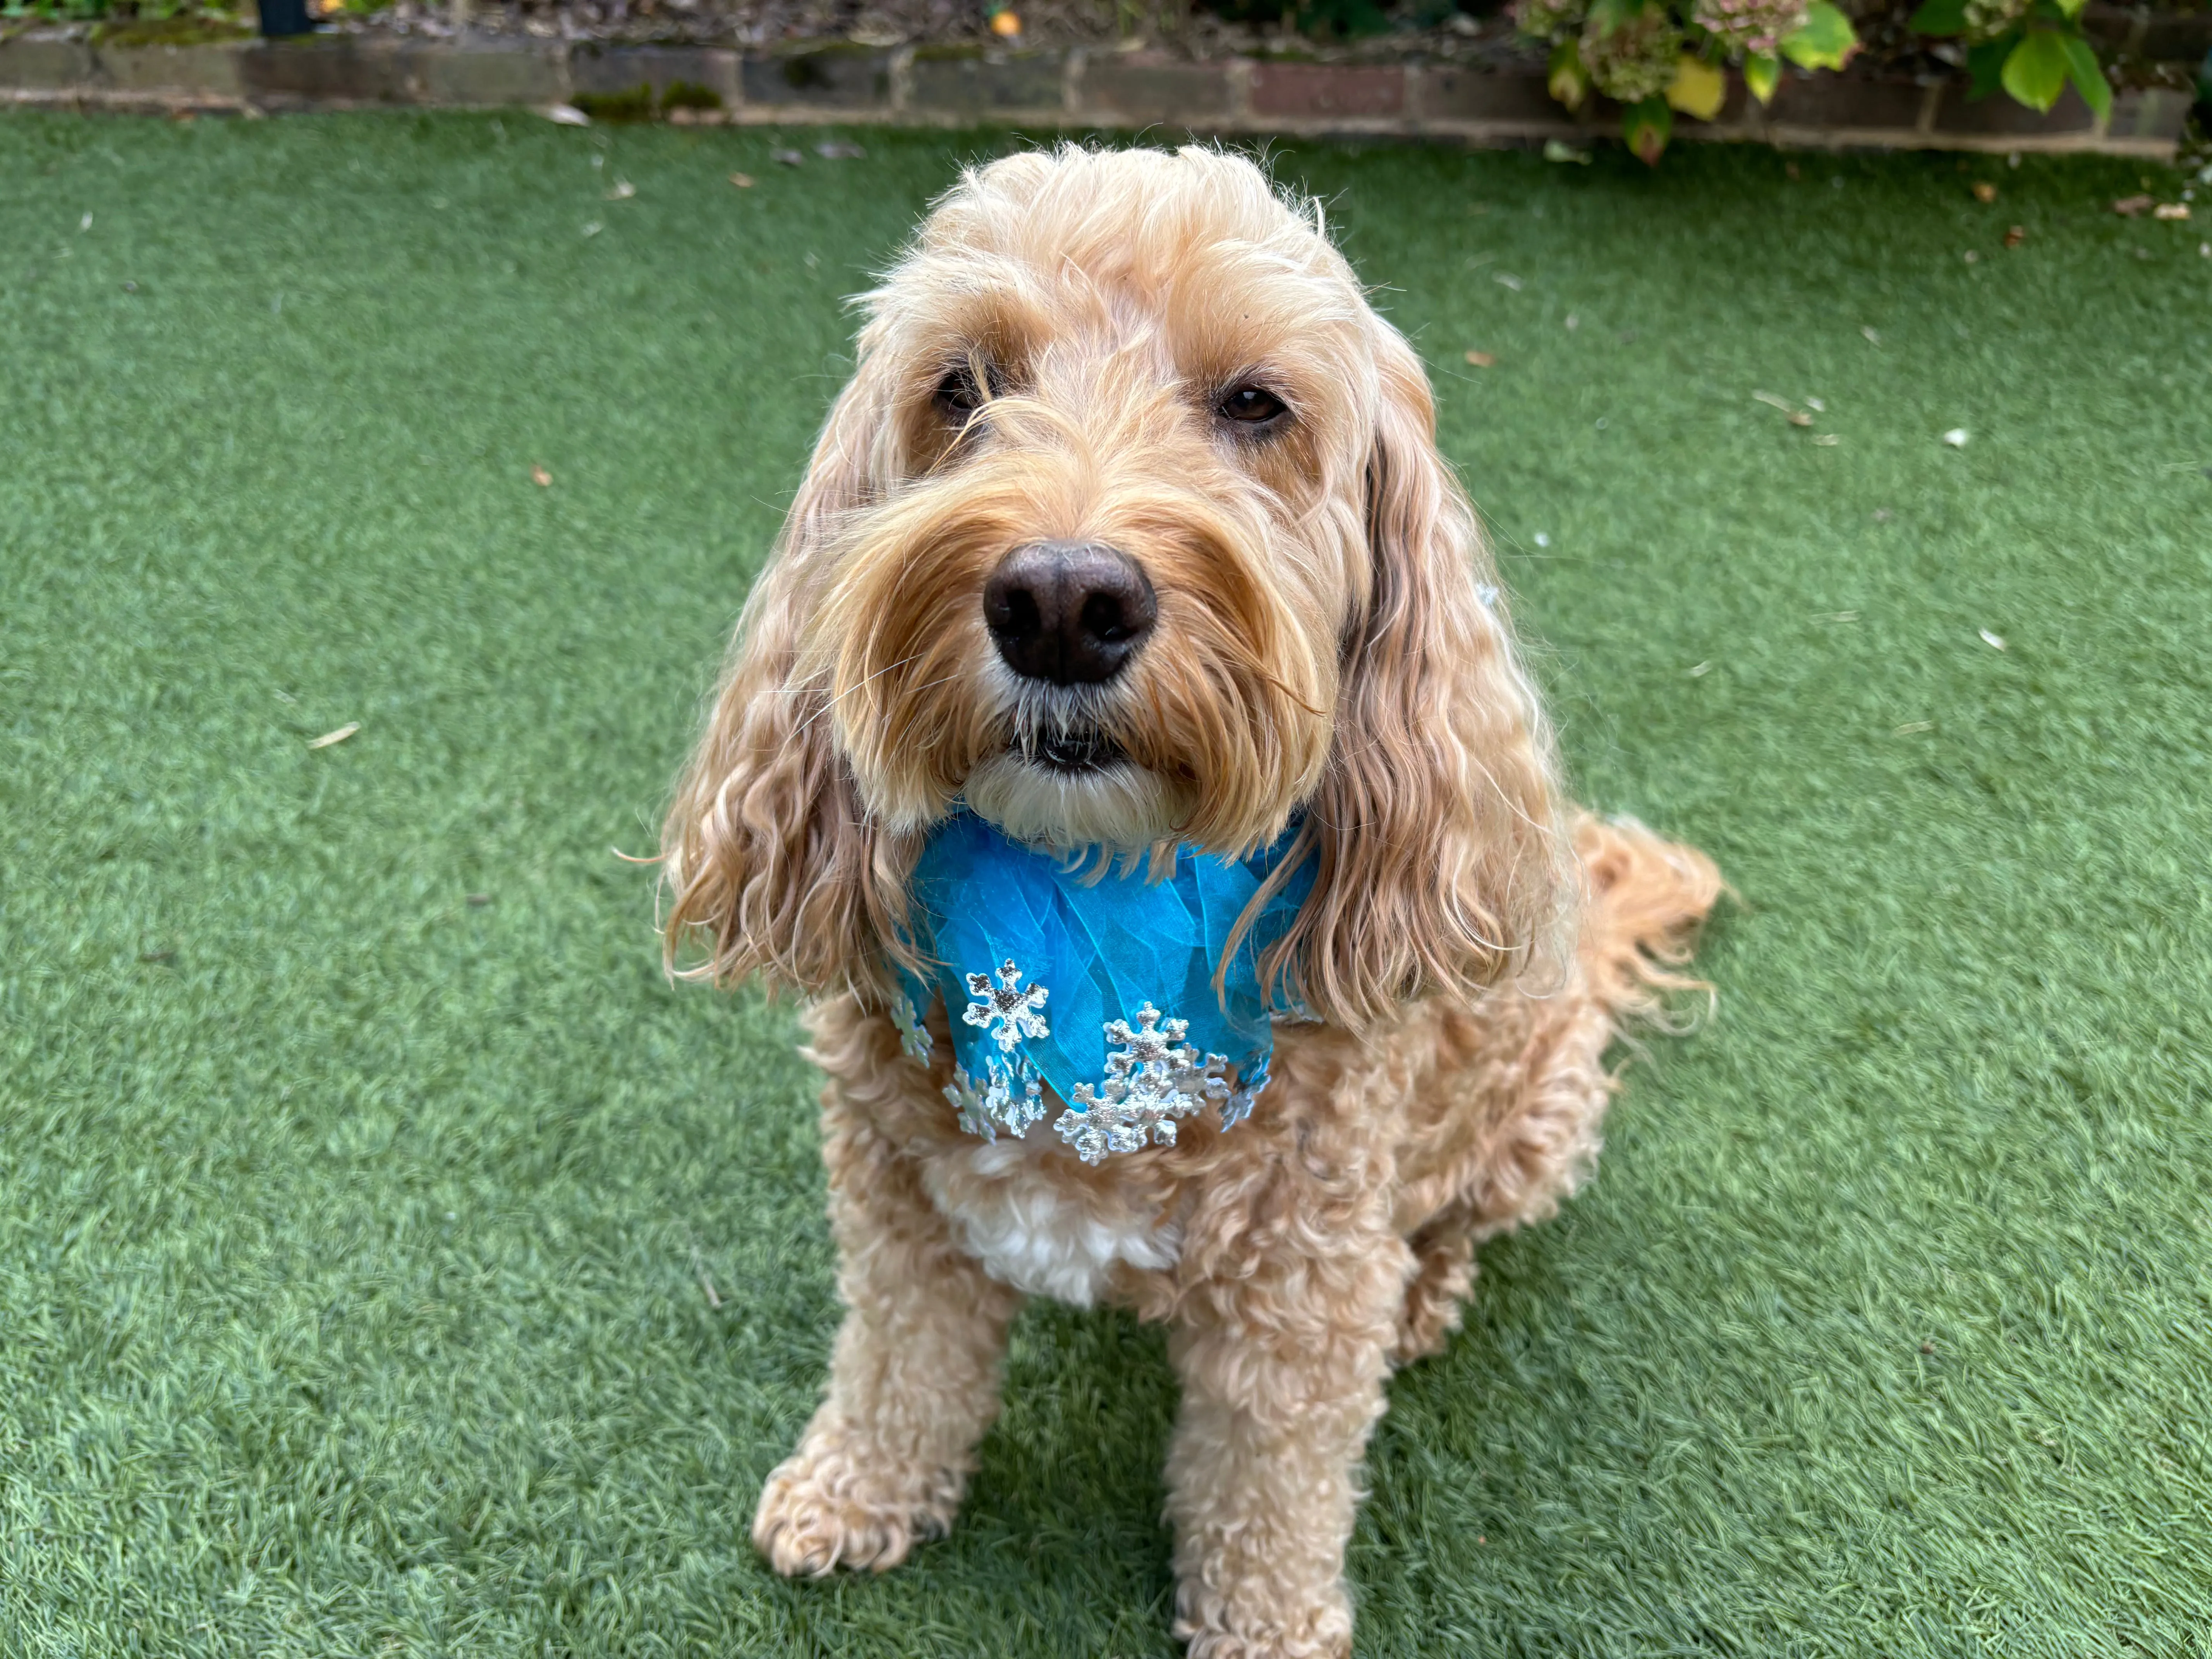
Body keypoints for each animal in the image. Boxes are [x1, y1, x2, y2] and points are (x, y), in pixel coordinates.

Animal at [663, 146, 1716, 1659]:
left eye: (1255, 404)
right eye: (960, 388)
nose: (1058, 601)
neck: (1087, 915)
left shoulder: (1302, 1293)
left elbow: (1268, 1485)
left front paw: (1265, 1626)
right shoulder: (896, 1207)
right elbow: (897, 1361)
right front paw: (855, 1487)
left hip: (1536, 1112)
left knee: (1455, 1216)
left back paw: (1427, 1290)